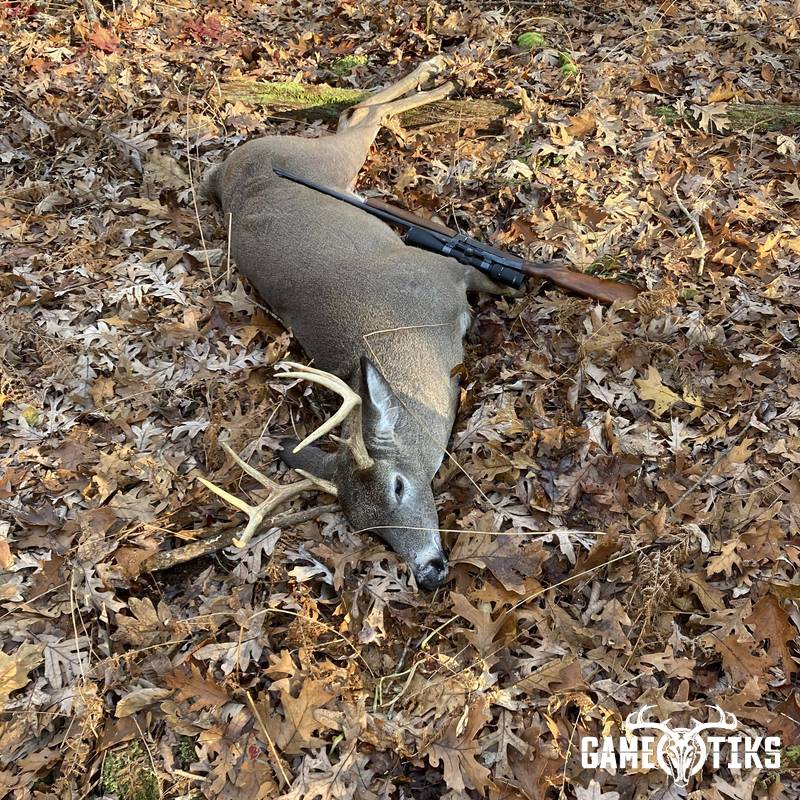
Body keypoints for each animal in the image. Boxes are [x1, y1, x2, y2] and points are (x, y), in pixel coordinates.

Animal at [199, 58, 555, 590]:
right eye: (367, 528)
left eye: (399, 485)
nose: (429, 573)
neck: (417, 340)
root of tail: (222, 175)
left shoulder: (443, 270)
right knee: (356, 113)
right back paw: (436, 77)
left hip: (322, 160)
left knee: (362, 113)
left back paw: (438, 75)